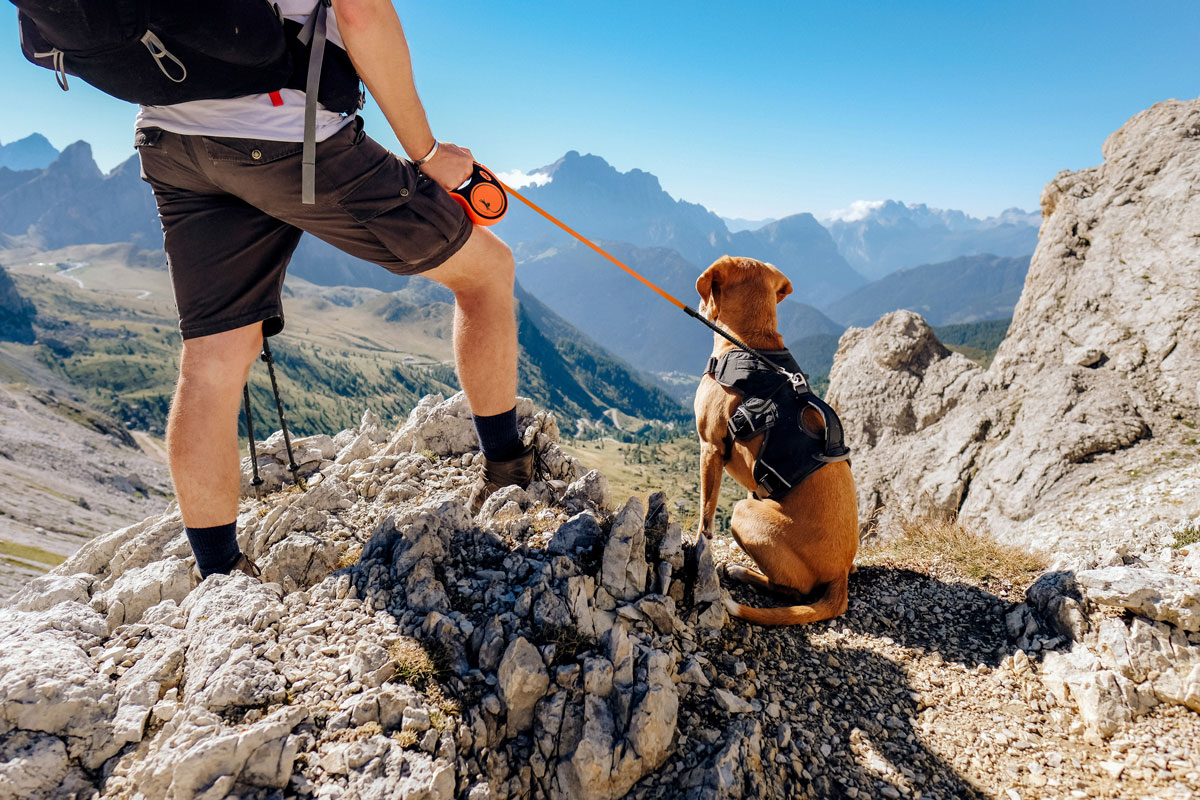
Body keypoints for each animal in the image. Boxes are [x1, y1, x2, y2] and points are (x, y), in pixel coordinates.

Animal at [691, 256, 859, 623]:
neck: (751, 342)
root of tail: (840, 574)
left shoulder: (710, 448)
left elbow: (706, 515)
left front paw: (699, 548)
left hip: (744, 512)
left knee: (791, 591)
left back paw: (742, 573)